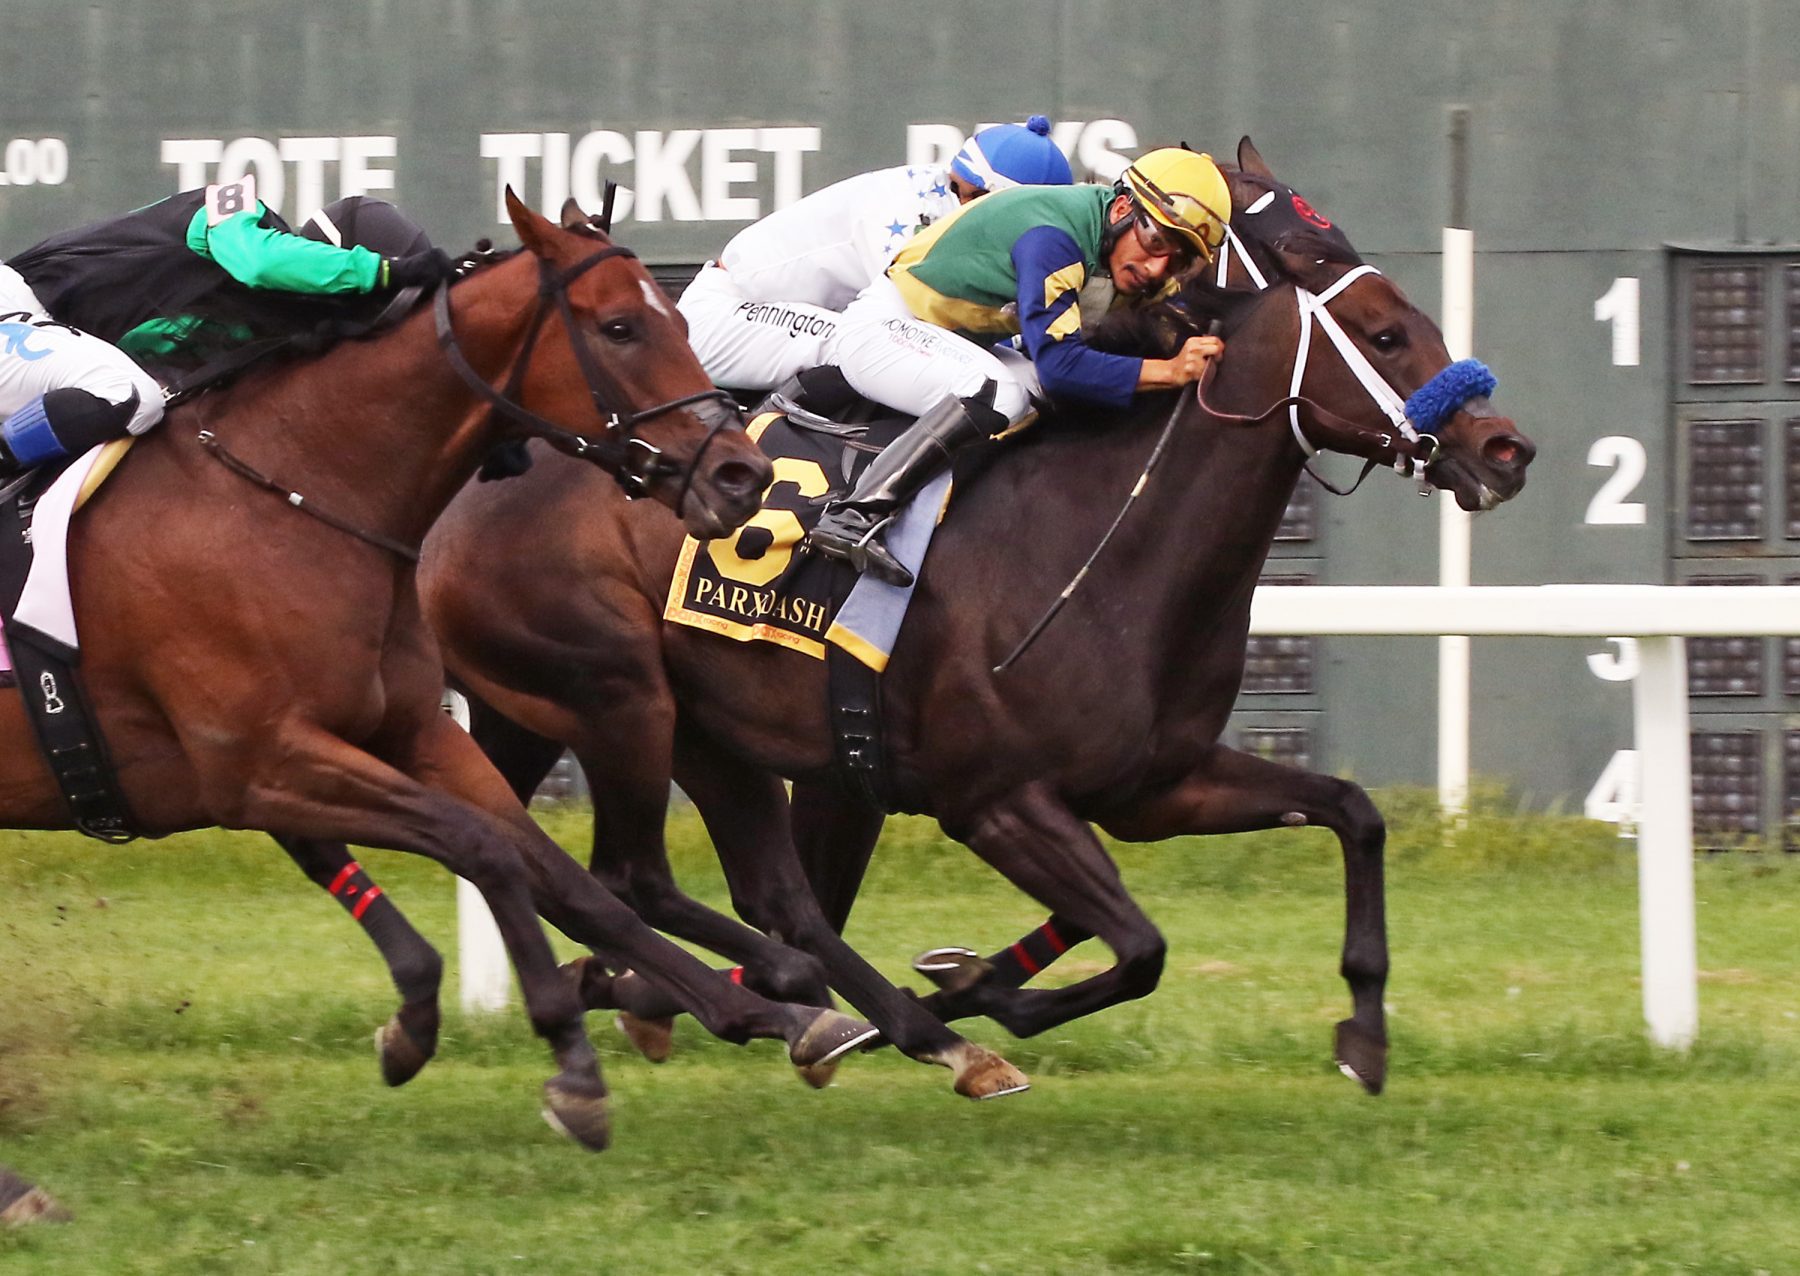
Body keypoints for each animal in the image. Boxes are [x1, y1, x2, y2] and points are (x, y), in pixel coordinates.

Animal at [0, 191, 892, 1166]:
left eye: (677, 322)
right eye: (619, 326)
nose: (743, 476)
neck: (289, 495)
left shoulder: (409, 735)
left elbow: (563, 879)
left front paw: (766, 1010)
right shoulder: (263, 763)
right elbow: (488, 849)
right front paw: (572, 1058)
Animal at [306, 146, 1533, 1094]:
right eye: (1381, 330)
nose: (1504, 446)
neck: (1100, 539)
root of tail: (482, 477)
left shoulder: (1154, 784)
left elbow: (1350, 815)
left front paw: (1363, 1030)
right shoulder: (995, 799)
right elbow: (1139, 943)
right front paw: (979, 994)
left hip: (603, 717)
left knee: (677, 876)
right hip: (616, 693)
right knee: (635, 872)